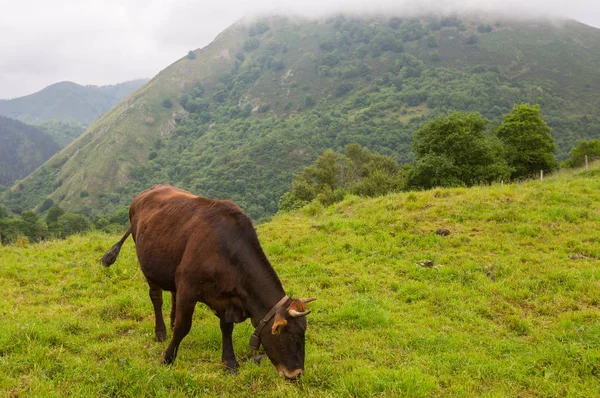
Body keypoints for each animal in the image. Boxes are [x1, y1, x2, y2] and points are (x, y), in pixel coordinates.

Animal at [99, 186, 314, 380]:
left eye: (303, 333)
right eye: (293, 336)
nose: (297, 374)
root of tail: (146, 192)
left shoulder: (226, 298)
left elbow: (226, 328)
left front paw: (230, 362)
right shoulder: (188, 288)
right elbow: (183, 327)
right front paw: (167, 358)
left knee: (172, 293)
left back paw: (171, 318)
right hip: (149, 267)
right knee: (156, 298)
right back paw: (161, 332)